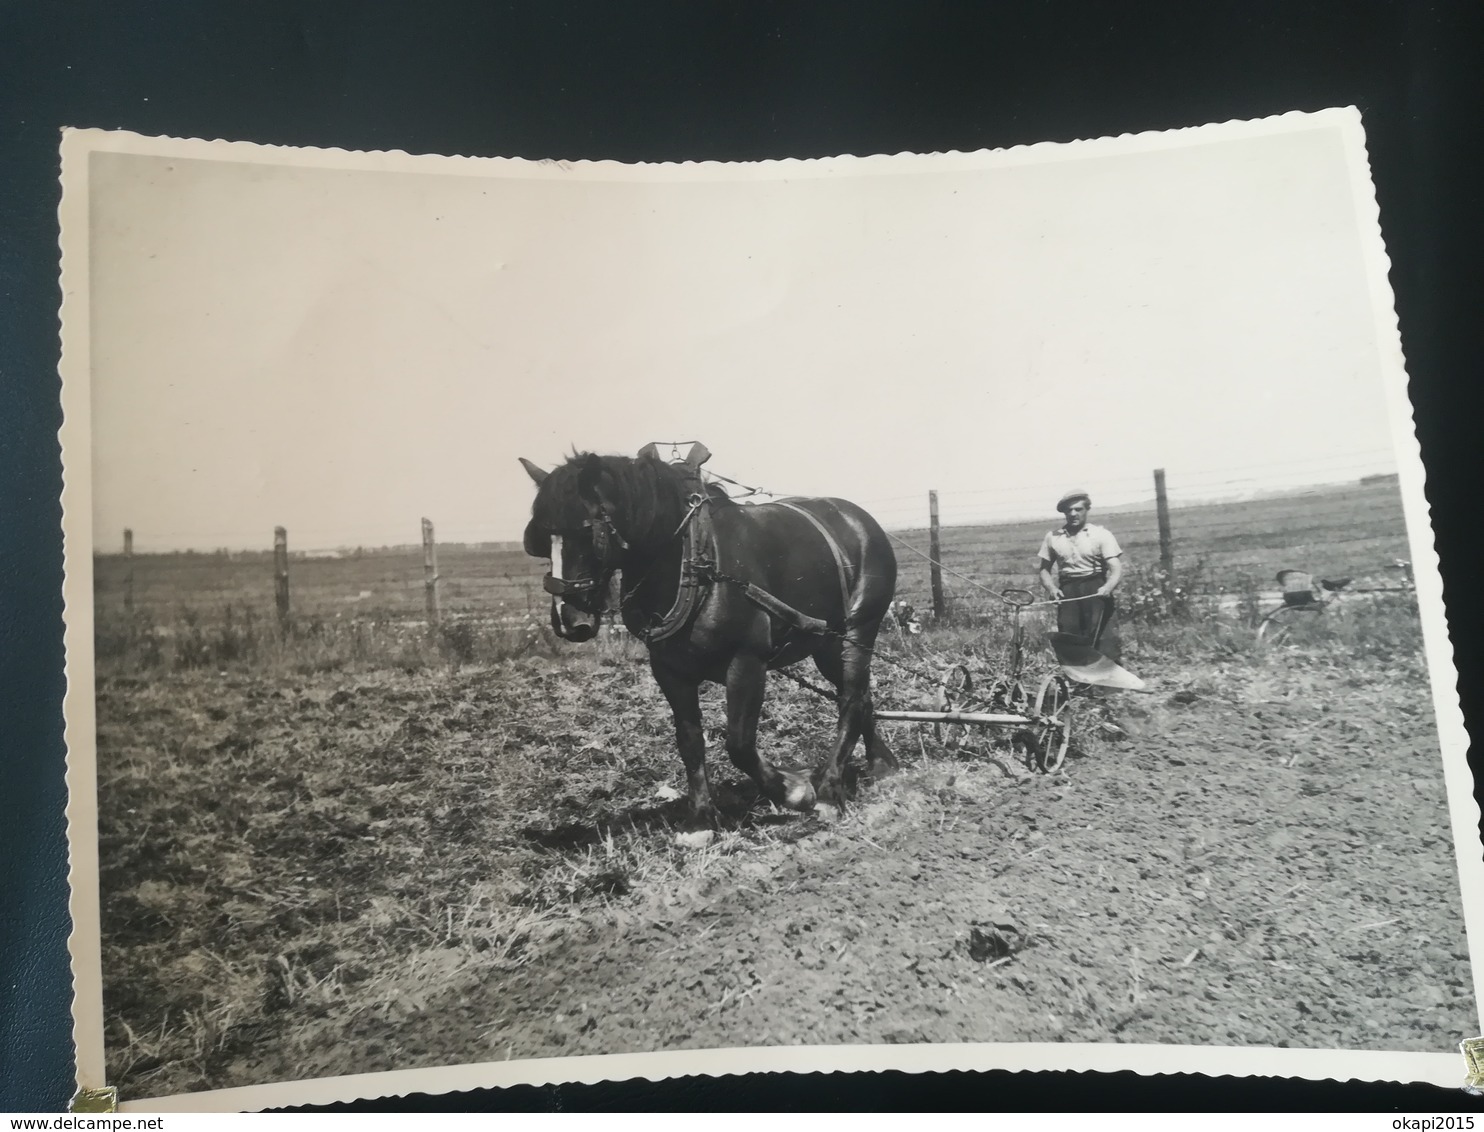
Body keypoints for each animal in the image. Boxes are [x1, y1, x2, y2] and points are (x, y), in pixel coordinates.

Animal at [522, 442, 890, 824]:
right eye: (538, 541)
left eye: (586, 532)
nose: (568, 620)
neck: (694, 563)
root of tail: (860, 519)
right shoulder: (669, 670)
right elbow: (689, 741)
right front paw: (700, 817)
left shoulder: (747, 662)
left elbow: (739, 744)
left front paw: (795, 791)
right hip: (827, 645)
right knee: (860, 695)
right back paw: (881, 764)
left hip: (858, 630)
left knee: (850, 699)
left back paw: (830, 789)